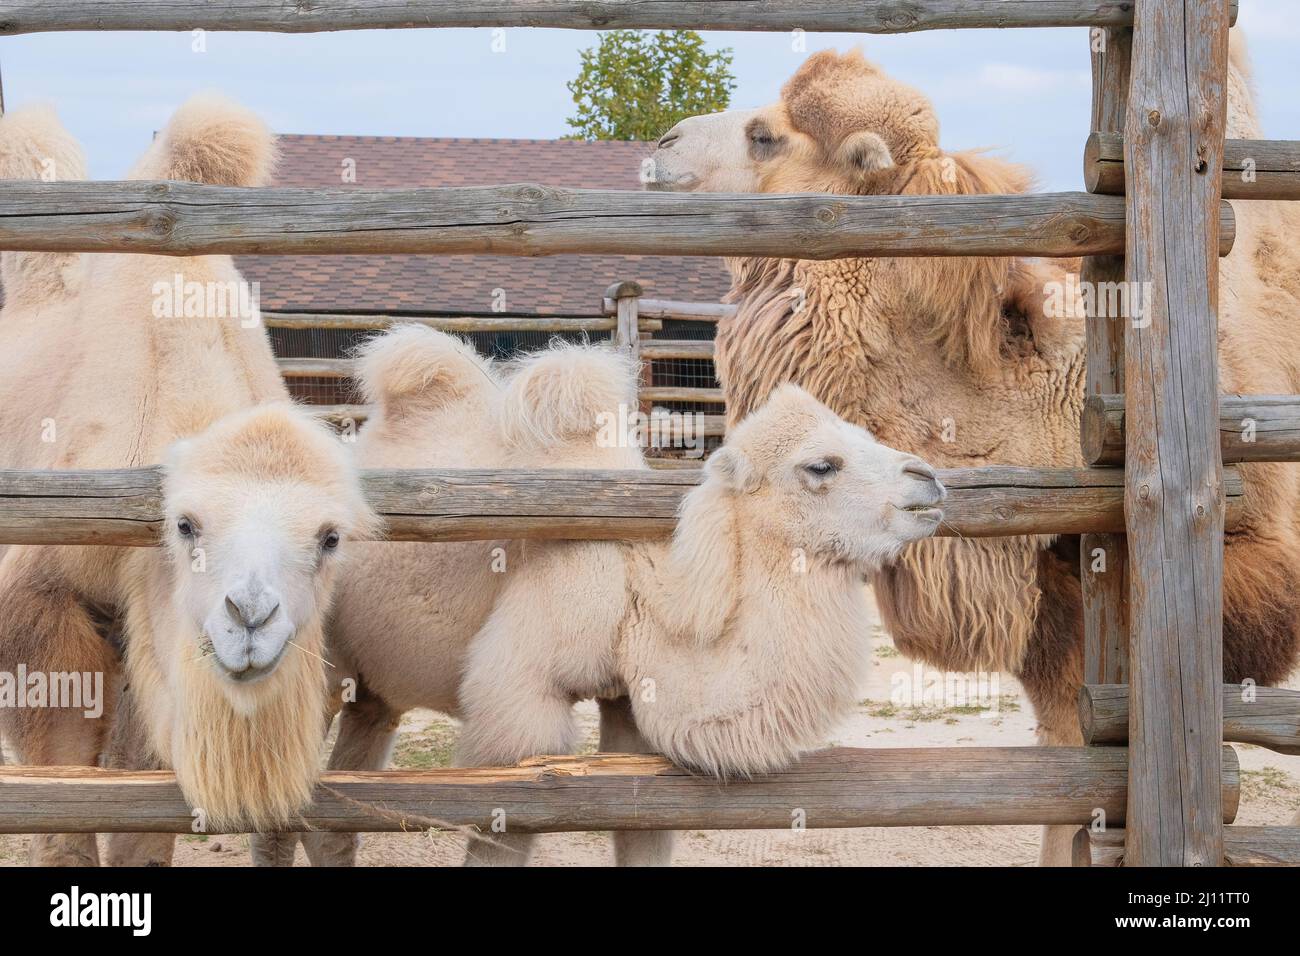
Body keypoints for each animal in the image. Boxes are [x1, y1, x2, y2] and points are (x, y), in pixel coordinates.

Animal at [0, 95, 374, 862]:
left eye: (330, 538)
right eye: (185, 524)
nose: (250, 617)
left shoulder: (147, 622)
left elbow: (139, 798)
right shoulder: (42, 603)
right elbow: (60, 795)